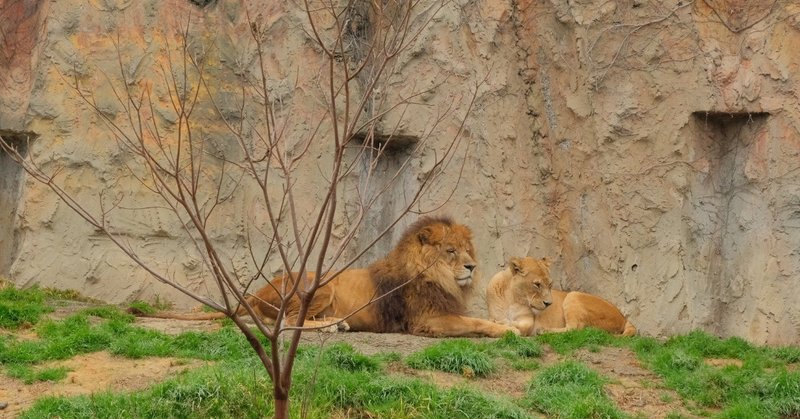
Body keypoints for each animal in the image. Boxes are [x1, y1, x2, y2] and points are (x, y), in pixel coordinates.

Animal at [134, 217, 516, 338]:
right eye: (450, 251)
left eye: (467, 249)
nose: (472, 267)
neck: (439, 278)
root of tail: (257, 291)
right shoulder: (427, 321)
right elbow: (476, 323)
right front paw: (508, 331)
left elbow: (479, 318)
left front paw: (510, 324)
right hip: (321, 285)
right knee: (287, 322)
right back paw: (332, 326)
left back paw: (337, 323)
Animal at [484, 258, 636, 336]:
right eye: (537, 284)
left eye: (550, 284)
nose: (548, 303)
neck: (512, 299)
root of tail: (624, 318)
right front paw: (495, 321)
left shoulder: (528, 321)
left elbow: (515, 324)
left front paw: (499, 322)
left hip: (573, 295)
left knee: (573, 329)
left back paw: (543, 331)